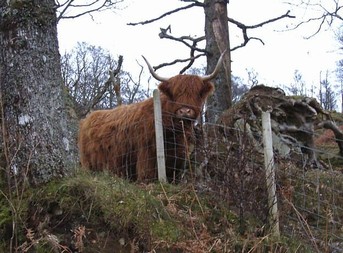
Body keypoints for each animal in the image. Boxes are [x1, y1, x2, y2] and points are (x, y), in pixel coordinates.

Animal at [78, 52, 226, 182]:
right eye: (174, 94)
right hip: (89, 164)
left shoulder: (177, 159)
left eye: (197, 93)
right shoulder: (146, 154)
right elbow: (147, 175)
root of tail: (88, 118)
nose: (184, 111)